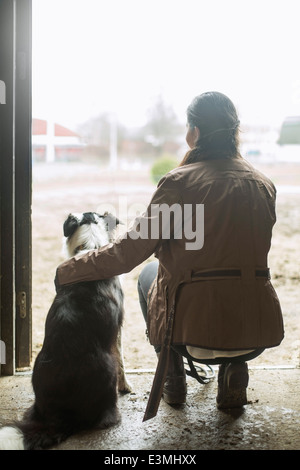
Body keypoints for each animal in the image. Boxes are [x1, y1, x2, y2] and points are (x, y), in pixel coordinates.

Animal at [0, 211, 131, 450]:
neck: (90, 245)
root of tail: (58, 418)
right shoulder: (117, 329)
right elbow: (121, 360)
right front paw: (126, 386)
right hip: (105, 367)